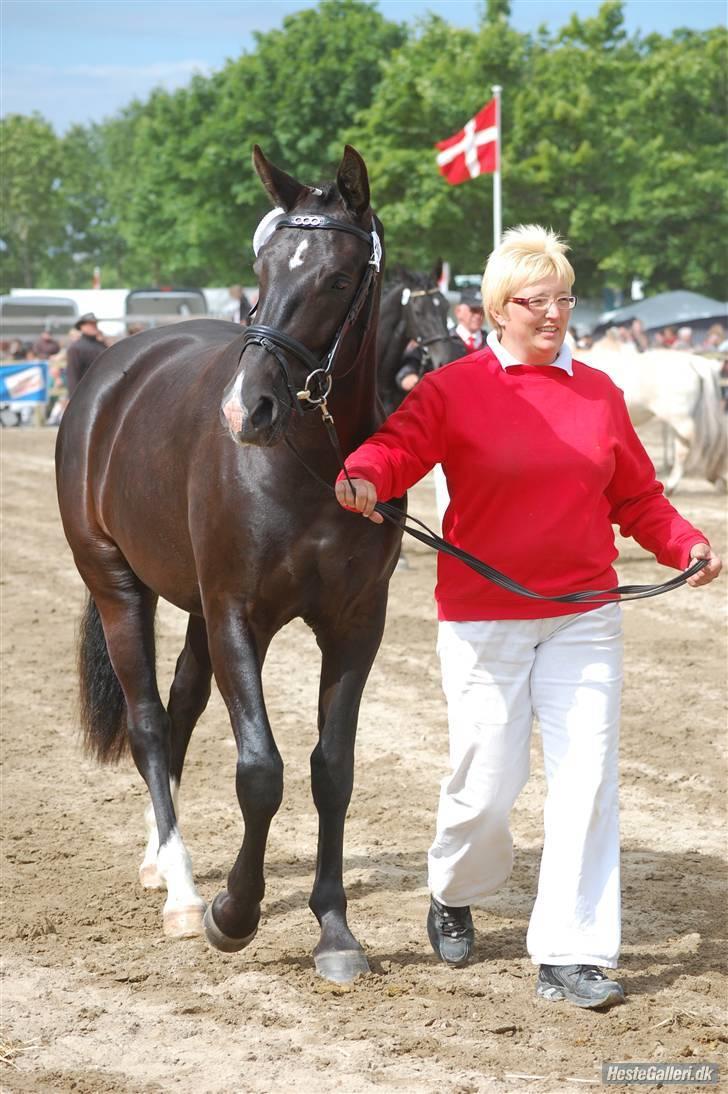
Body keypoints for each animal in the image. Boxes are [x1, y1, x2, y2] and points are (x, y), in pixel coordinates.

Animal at [56, 143, 402, 984]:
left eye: (338, 278)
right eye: (264, 266)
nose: (248, 409)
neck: (311, 467)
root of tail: (114, 368)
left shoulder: (356, 624)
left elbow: (331, 769)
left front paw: (334, 930)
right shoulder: (238, 614)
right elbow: (259, 771)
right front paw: (233, 915)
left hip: (191, 608)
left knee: (180, 706)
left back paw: (159, 857)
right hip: (119, 586)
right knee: (149, 722)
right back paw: (182, 891)